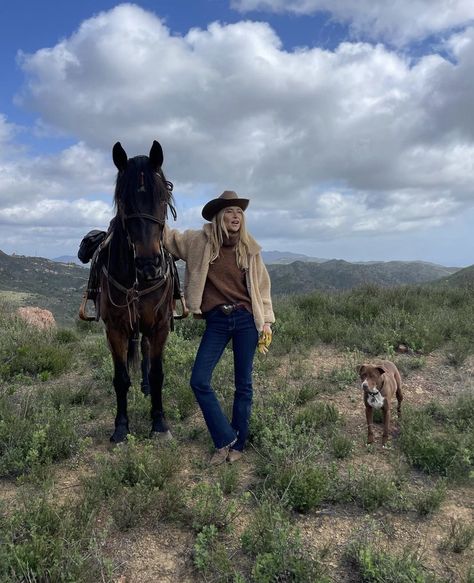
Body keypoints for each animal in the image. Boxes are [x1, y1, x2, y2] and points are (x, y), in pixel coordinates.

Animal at [100, 141, 176, 442]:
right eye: (123, 200)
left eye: (163, 199)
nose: (148, 265)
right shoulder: (114, 329)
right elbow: (120, 378)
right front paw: (121, 426)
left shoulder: (160, 326)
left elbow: (157, 374)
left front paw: (159, 423)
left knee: (143, 351)